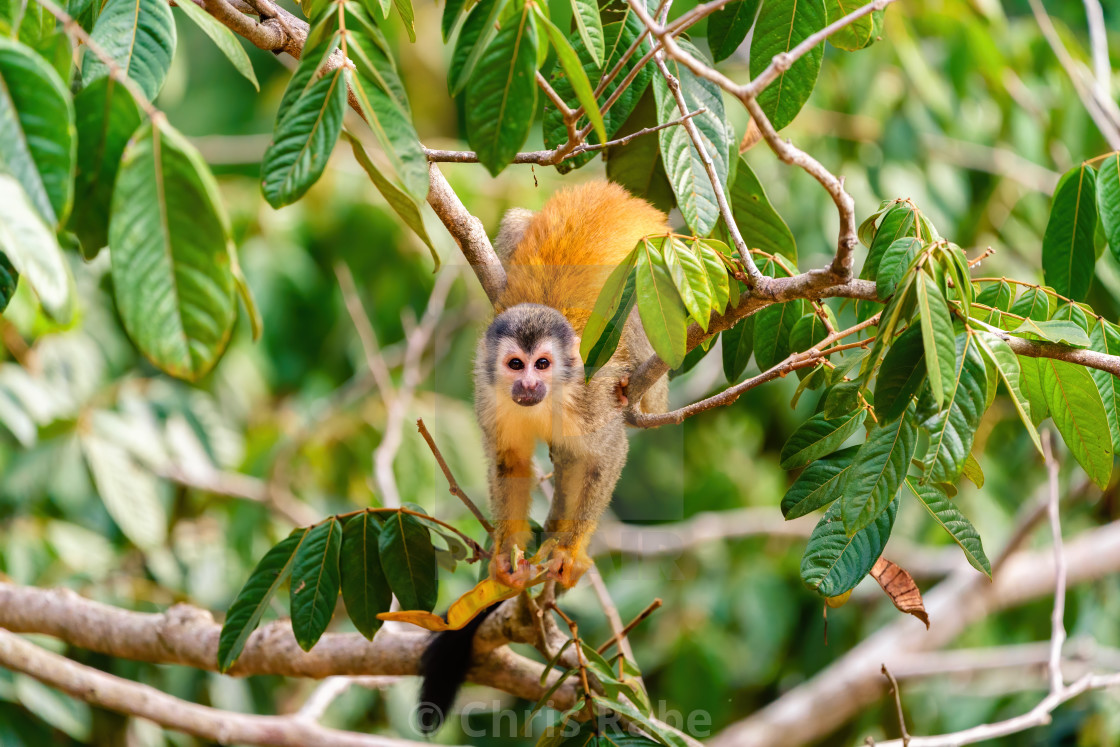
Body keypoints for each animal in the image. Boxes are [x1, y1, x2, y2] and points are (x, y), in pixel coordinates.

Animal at [477, 178, 667, 586]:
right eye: (516, 365)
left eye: (542, 364)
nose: (528, 386)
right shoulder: (488, 396)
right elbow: (509, 459)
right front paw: (505, 555)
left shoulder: (590, 396)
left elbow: (607, 454)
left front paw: (570, 550)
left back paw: (640, 401)